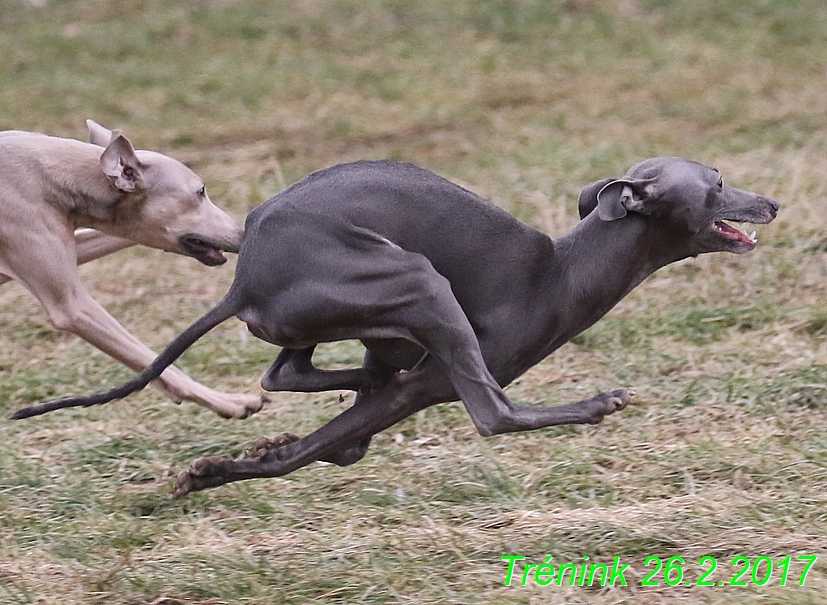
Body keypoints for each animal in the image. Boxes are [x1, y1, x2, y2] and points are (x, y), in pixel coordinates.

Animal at [12, 155, 780, 496]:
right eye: (715, 183)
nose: (771, 202)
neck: (566, 268)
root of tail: (244, 278)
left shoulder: (397, 370)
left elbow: (333, 440)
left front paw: (232, 462)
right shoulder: (429, 379)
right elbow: (330, 445)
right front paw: (223, 470)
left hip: (369, 310)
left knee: (288, 372)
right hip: (416, 280)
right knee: (492, 412)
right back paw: (595, 404)